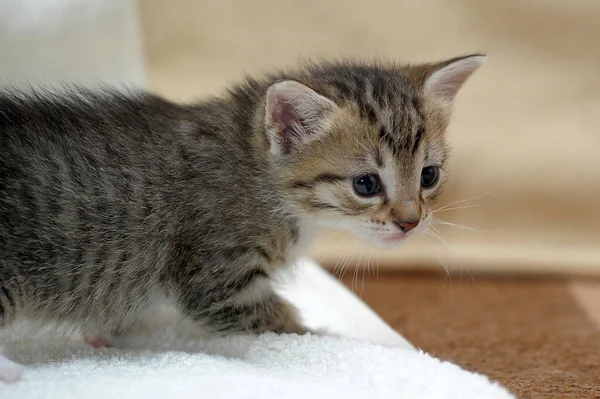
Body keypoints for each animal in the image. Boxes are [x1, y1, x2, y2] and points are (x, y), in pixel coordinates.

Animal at [0, 54, 486, 382]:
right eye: (366, 184)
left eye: (428, 176)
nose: (410, 222)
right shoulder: (218, 277)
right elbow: (278, 323)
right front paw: (328, 337)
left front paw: (117, 333)